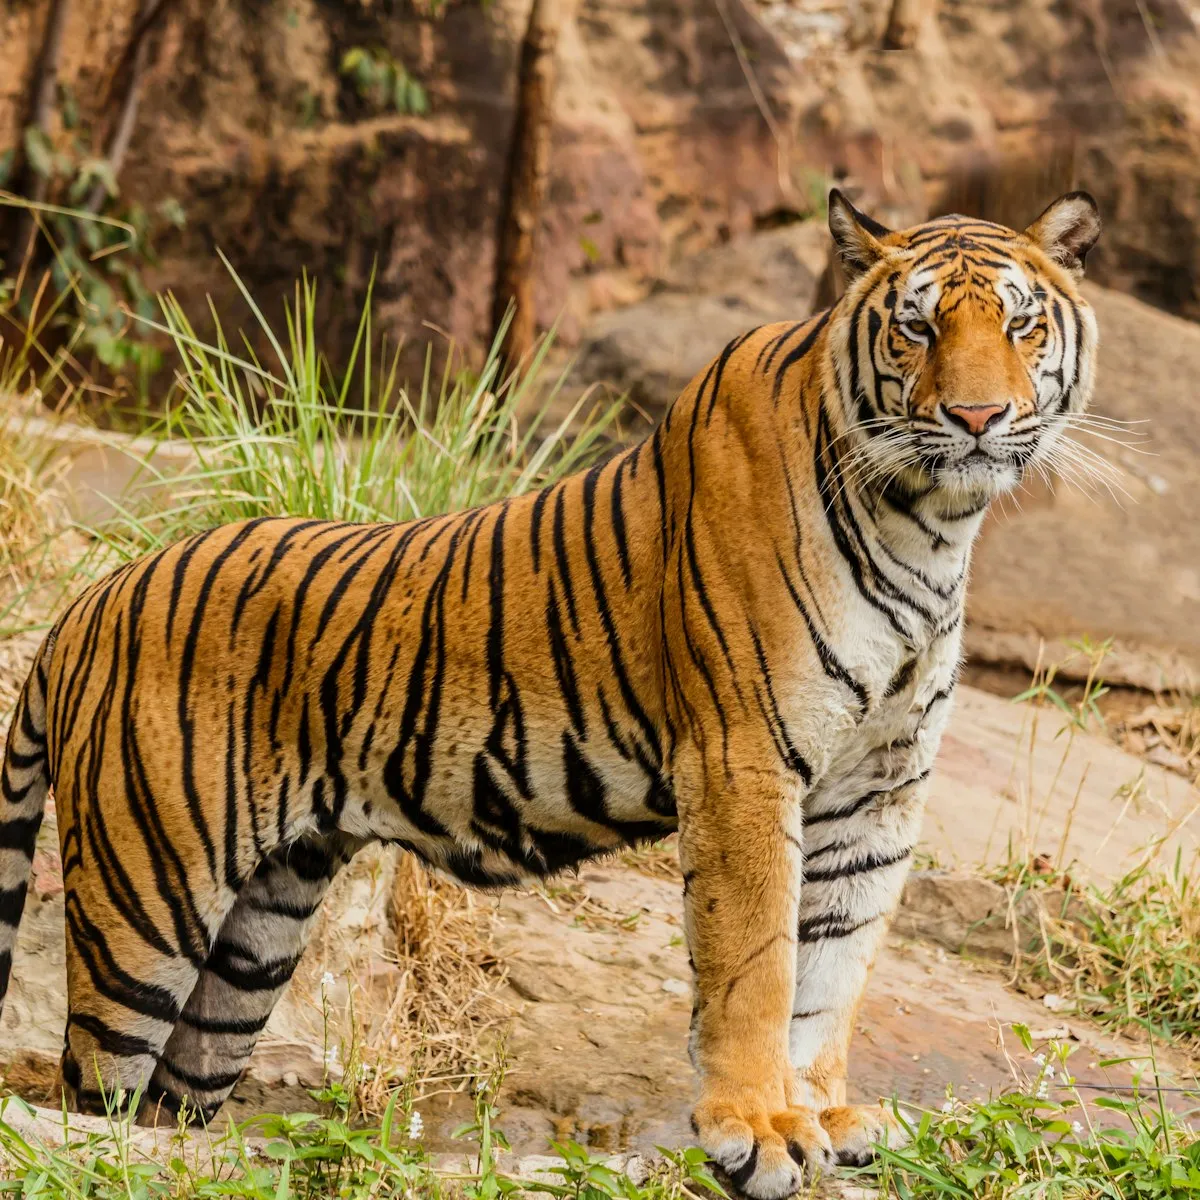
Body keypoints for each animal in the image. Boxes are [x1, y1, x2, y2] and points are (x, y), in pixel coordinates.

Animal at [0, 189, 1100, 1196]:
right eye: (917, 326)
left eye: (1020, 324)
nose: (976, 418)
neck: (930, 525)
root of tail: (89, 601)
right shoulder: (744, 759)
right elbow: (758, 961)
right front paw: (757, 1130)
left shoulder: (879, 786)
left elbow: (835, 967)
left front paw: (822, 1112)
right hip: (146, 902)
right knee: (92, 1093)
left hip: (254, 939)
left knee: (172, 1103)